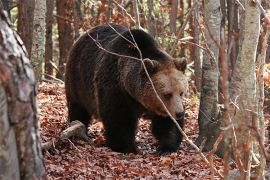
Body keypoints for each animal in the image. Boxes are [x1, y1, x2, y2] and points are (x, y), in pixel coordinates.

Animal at [65, 23, 188, 153]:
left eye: (181, 92)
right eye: (167, 94)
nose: (180, 113)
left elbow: (167, 123)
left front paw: (166, 147)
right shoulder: (116, 88)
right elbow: (119, 118)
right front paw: (127, 147)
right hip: (77, 79)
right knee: (77, 107)